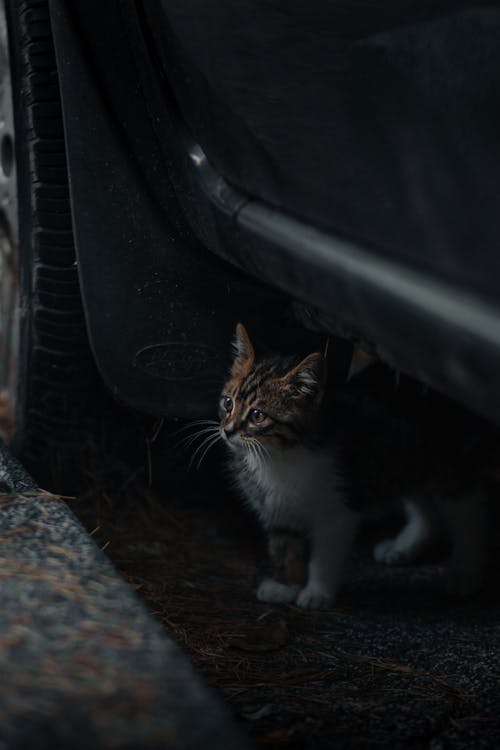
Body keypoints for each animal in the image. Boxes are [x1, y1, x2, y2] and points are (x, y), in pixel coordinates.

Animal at [221, 324, 494, 612]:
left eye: (257, 415)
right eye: (228, 403)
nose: (227, 431)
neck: (277, 456)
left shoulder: (339, 507)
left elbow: (325, 555)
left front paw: (316, 592)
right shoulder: (275, 508)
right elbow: (285, 546)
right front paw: (286, 585)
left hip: (447, 464)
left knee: (469, 512)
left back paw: (466, 571)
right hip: (403, 460)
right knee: (427, 508)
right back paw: (403, 547)